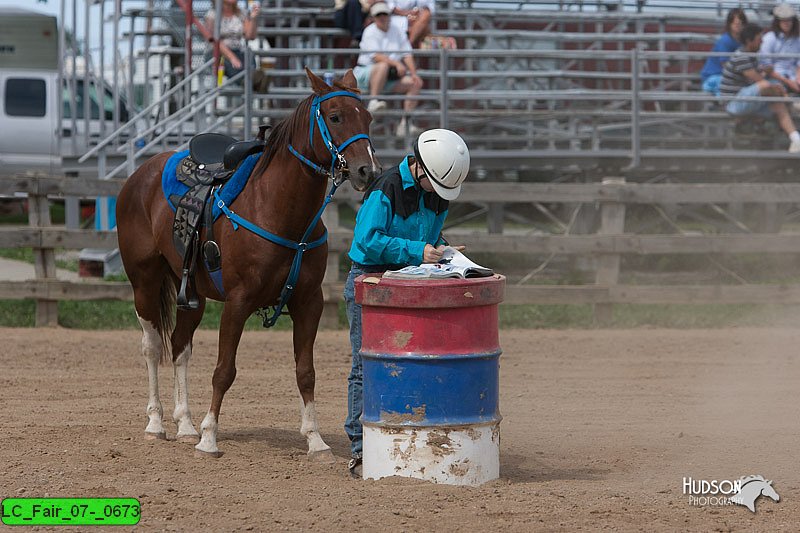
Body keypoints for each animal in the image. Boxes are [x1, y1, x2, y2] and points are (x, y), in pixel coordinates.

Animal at [117, 67, 382, 458]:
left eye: (368, 118)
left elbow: (306, 371)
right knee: (152, 347)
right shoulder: (238, 302)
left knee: (180, 347)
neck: (278, 209)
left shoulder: (309, 302)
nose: (368, 171)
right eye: (335, 117)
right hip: (144, 282)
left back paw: (185, 425)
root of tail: (140, 175)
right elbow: (224, 370)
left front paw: (315, 440)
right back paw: (157, 424)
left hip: (191, 294)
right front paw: (209, 438)